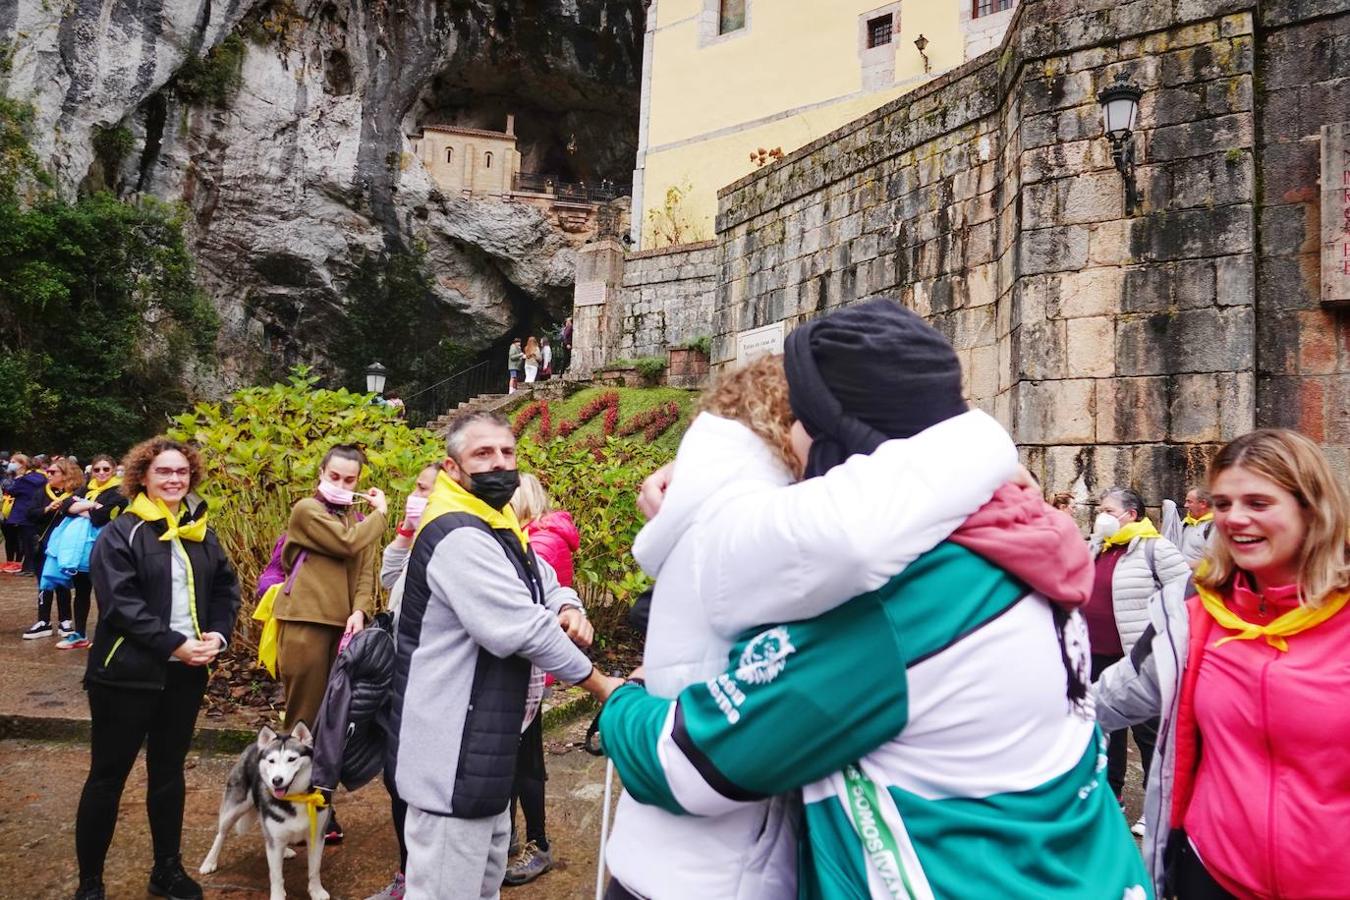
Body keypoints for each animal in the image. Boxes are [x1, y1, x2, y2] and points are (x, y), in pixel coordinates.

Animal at [197, 723, 329, 900]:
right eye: (271, 761)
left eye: (292, 759)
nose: (276, 780)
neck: (296, 797)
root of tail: (254, 745)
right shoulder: (274, 838)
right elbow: (276, 875)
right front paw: (278, 896)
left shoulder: (316, 835)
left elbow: (315, 869)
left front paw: (316, 891)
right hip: (233, 810)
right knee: (221, 834)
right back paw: (209, 862)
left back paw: (285, 851)